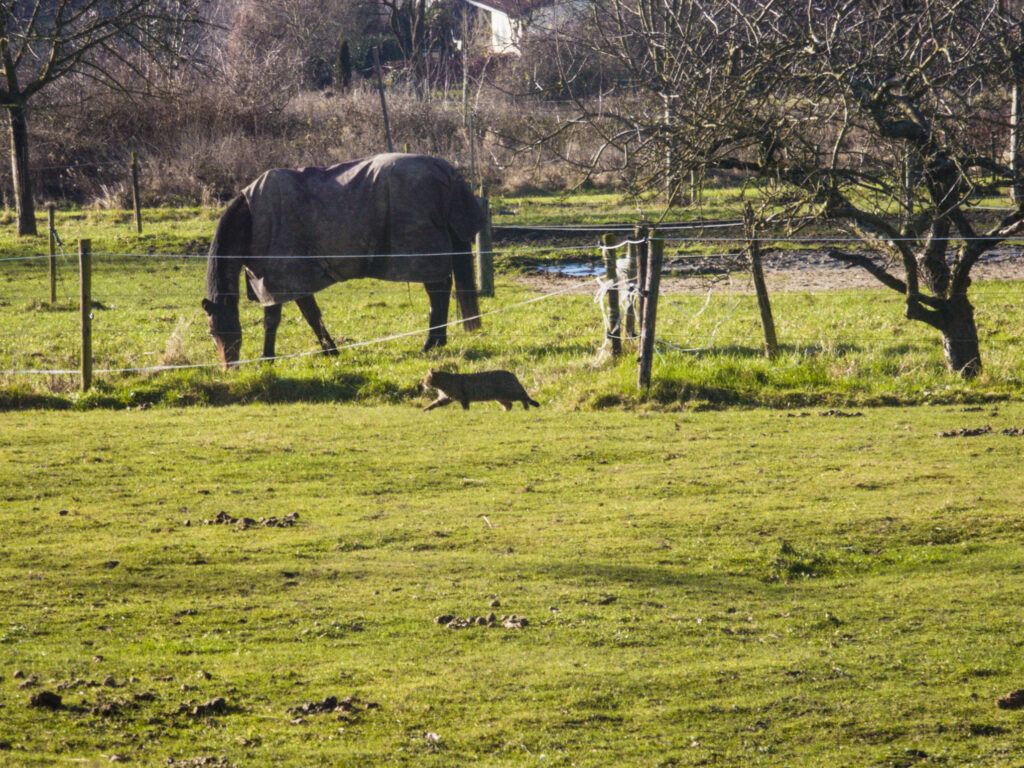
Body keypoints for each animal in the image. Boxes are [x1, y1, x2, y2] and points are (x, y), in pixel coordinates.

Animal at [204, 153, 487, 366]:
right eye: (212, 332)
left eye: (226, 329)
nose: (230, 367)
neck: (251, 220)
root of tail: (446, 170)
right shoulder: (290, 280)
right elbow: (311, 315)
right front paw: (329, 350)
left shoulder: (281, 277)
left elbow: (275, 319)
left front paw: (267, 358)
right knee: (440, 291)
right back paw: (436, 340)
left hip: (423, 254)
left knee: (437, 291)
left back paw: (430, 342)